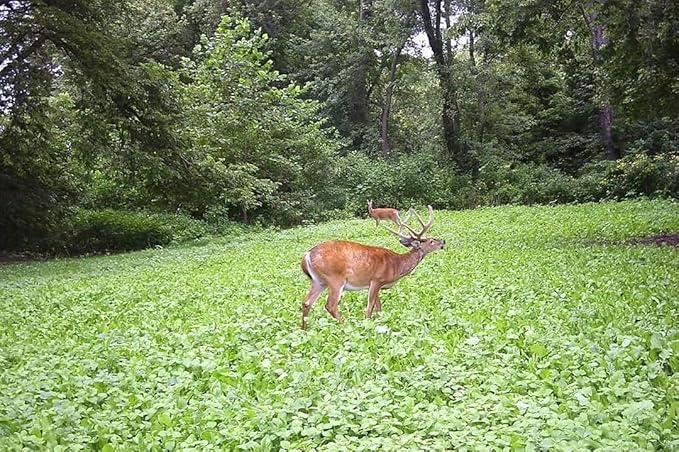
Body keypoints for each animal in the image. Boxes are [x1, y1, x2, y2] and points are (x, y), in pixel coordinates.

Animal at [300, 205, 444, 329]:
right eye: (431, 241)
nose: (443, 241)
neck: (397, 264)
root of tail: (306, 255)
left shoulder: (378, 285)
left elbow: (378, 308)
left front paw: (380, 322)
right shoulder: (376, 279)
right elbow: (370, 307)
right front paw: (367, 325)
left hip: (319, 281)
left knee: (307, 302)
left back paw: (304, 330)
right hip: (335, 278)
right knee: (330, 305)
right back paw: (346, 325)